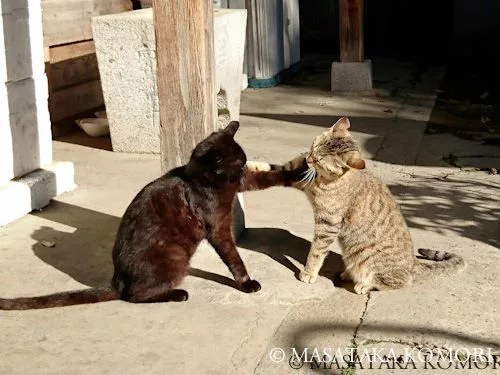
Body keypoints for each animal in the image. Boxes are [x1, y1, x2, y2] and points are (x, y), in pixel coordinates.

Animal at [248, 117, 466, 294]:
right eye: (313, 147)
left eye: (319, 160)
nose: (308, 159)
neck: (324, 179)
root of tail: (414, 263)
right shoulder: (295, 172)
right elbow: (274, 168)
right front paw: (250, 165)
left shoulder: (328, 224)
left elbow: (317, 251)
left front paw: (309, 272)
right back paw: (347, 273)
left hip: (371, 262)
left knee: (397, 283)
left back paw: (364, 285)